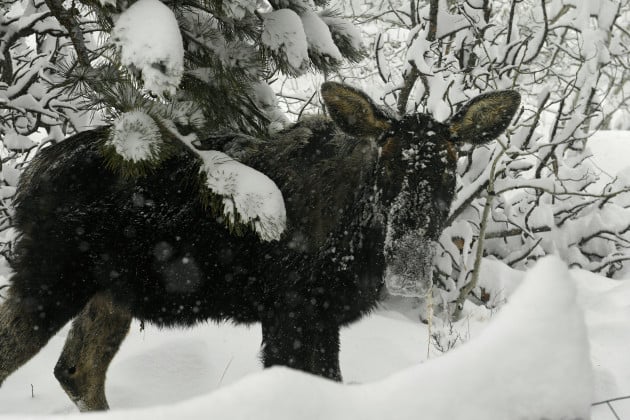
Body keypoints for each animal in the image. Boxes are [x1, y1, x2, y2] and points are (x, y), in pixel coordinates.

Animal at [0, 82, 520, 410]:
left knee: (76, 370)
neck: (357, 242)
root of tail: (29, 178)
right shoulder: (292, 309)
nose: (410, 266)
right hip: (51, 273)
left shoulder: (317, 315)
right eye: (386, 162)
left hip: (112, 291)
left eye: (451, 168)